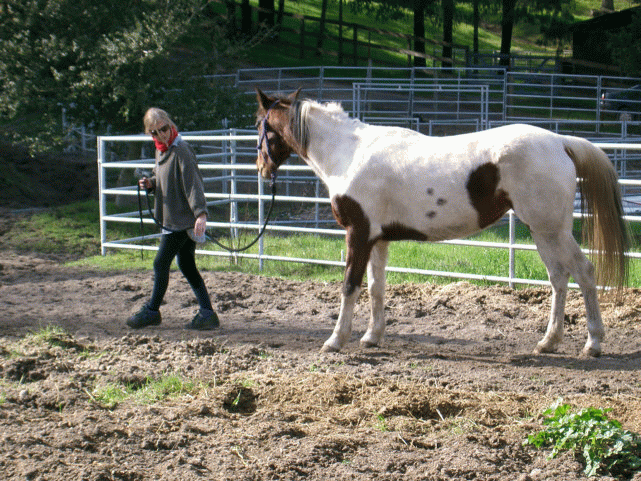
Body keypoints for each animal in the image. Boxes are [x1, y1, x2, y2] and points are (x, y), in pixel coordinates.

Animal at [254, 88, 629, 357]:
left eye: (260, 126)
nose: (262, 169)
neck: (348, 154)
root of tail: (561, 142)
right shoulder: (378, 239)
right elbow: (376, 287)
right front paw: (372, 336)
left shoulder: (357, 234)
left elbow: (350, 286)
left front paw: (335, 340)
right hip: (542, 232)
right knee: (559, 279)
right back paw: (548, 342)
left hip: (552, 230)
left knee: (584, 272)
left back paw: (593, 344)